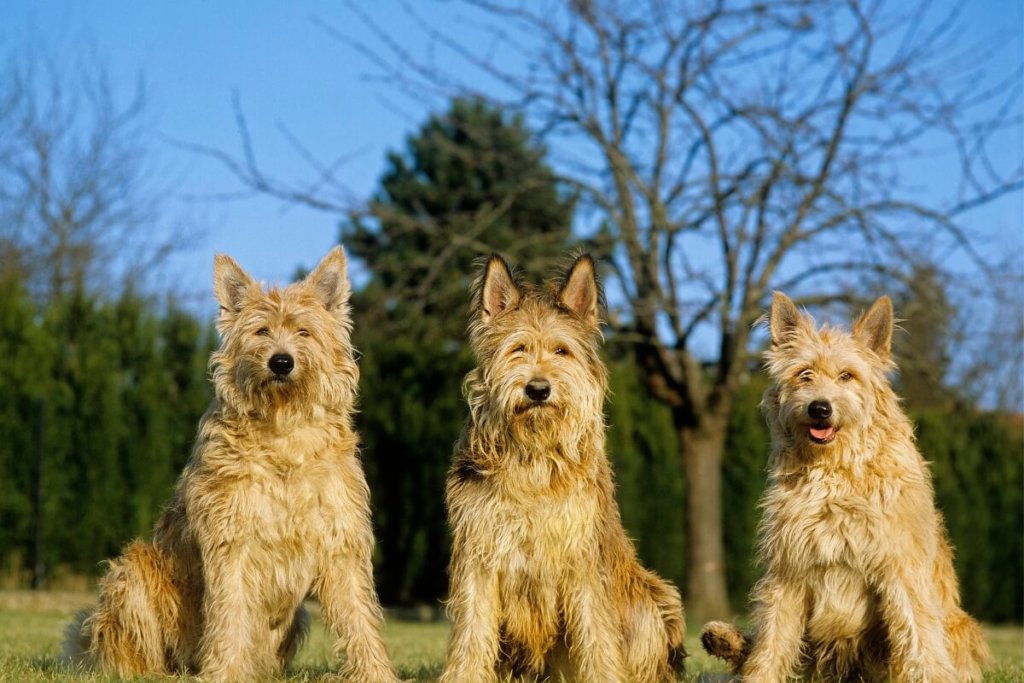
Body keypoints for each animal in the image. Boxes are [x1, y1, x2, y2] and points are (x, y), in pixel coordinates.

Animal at [59, 246, 395, 683]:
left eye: (304, 332)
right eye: (261, 332)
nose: (281, 362)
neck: (283, 432)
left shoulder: (341, 542)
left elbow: (358, 615)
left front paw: (376, 673)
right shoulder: (231, 542)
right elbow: (229, 613)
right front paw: (225, 673)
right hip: (131, 572)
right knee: (129, 652)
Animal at [442, 254, 688, 683]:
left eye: (561, 351)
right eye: (518, 349)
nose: (538, 389)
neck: (534, 458)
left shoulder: (583, 559)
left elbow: (596, 635)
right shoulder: (478, 554)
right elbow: (472, 632)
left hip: (652, 601)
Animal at [704, 294, 983, 683]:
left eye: (846, 375)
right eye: (804, 373)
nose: (820, 408)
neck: (834, 472)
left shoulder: (901, 566)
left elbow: (919, 635)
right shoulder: (788, 571)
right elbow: (772, 642)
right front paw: (759, 676)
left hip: (959, 627)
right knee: (755, 645)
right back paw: (722, 638)